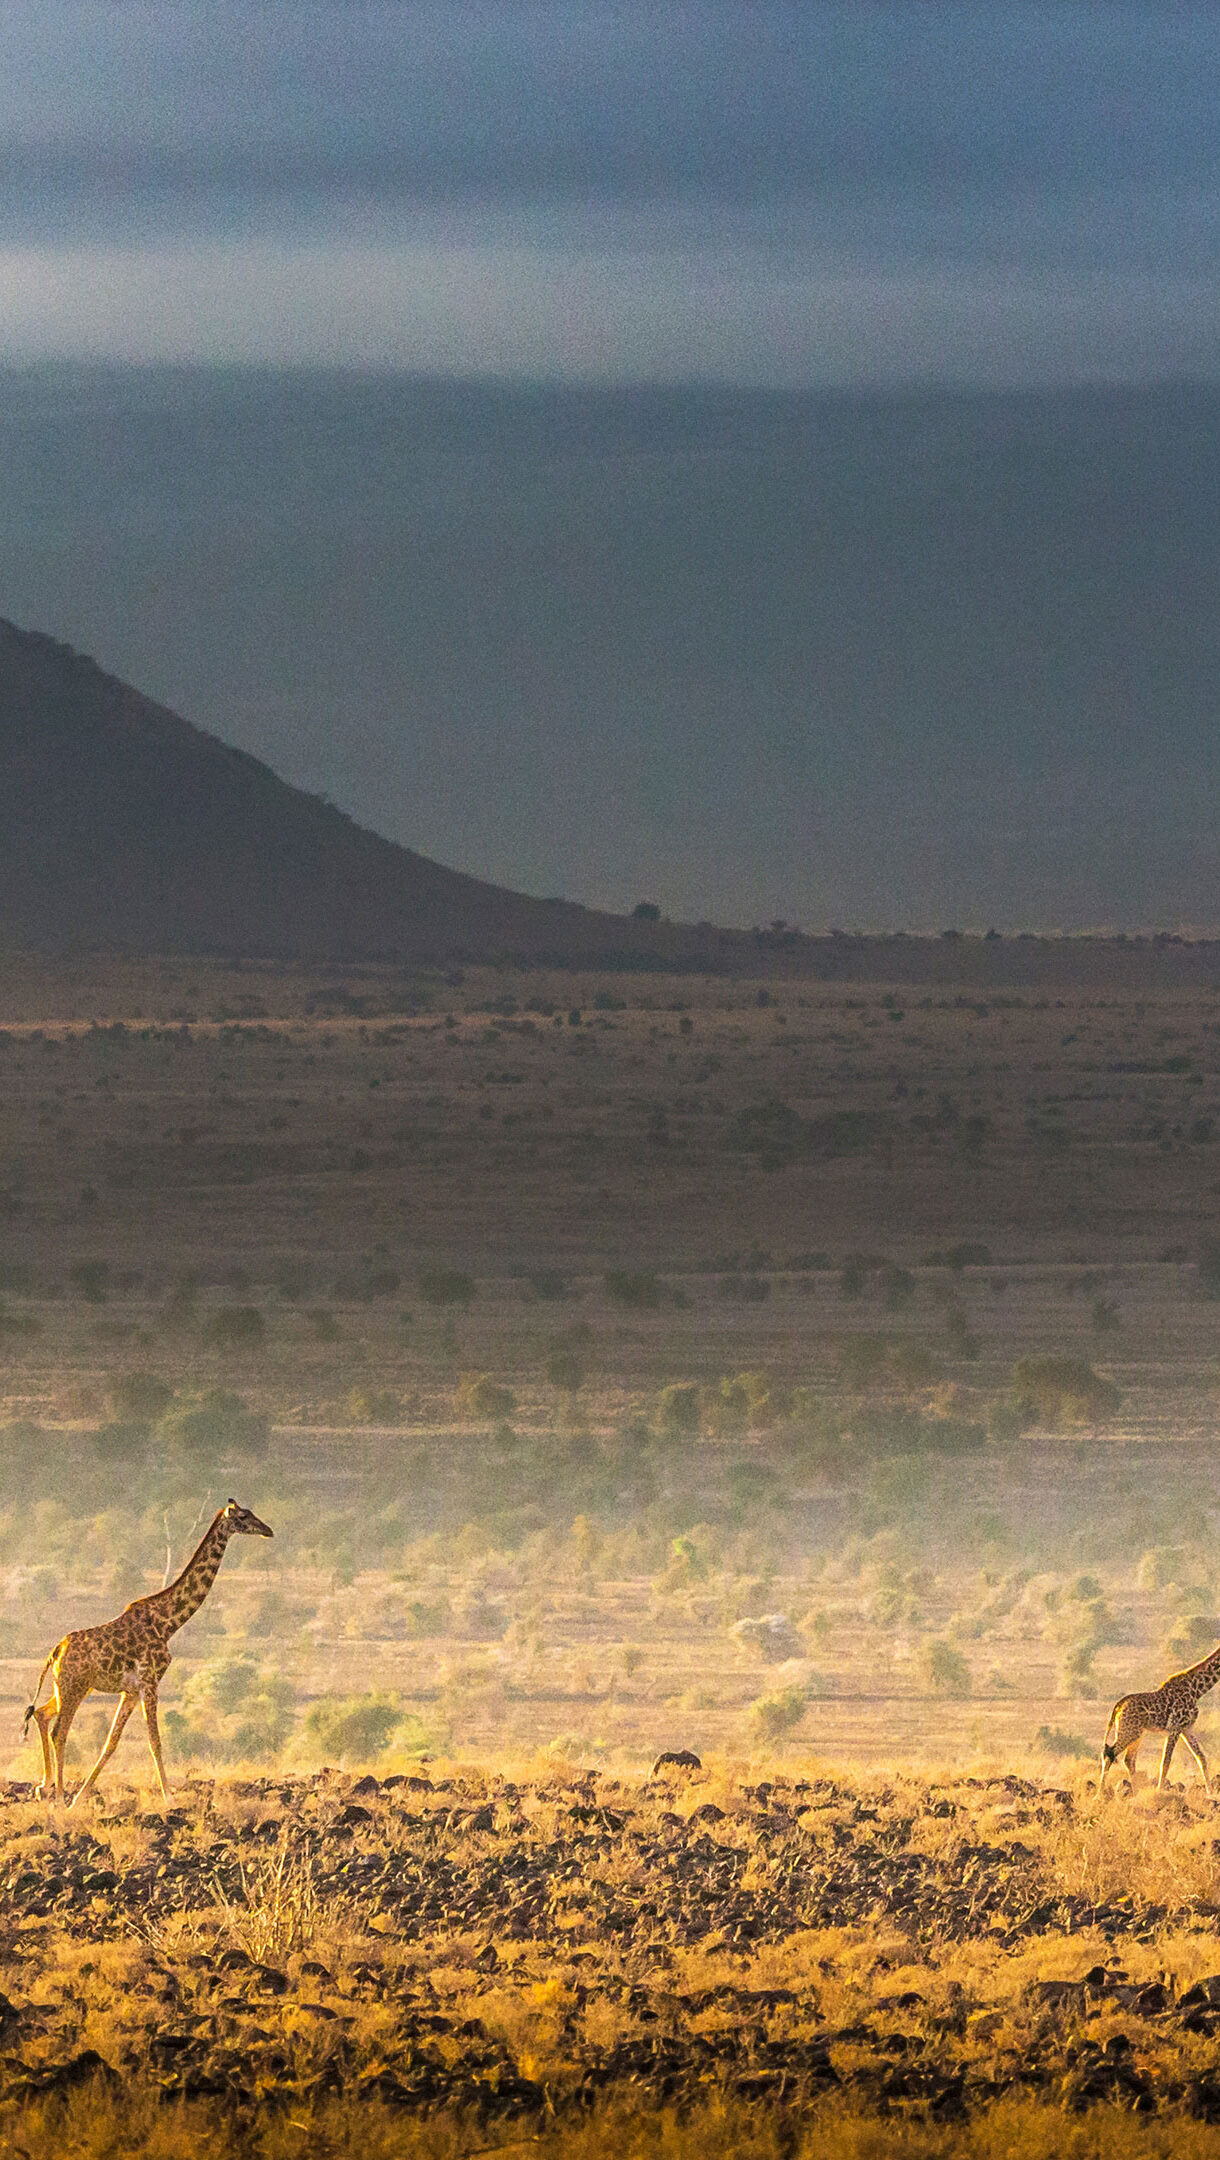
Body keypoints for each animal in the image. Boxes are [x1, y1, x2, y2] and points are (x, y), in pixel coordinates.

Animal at [23, 1500, 273, 1806]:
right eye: (244, 1516)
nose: (268, 1530)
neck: (168, 1623)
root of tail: (55, 1652)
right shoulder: (150, 1681)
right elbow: (155, 1741)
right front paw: (169, 1799)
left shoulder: (130, 1690)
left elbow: (111, 1743)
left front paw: (81, 1797)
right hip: (74, 1687)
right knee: (60, 1731)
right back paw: (58, 1796)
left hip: (68, 1687)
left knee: (41, 1714)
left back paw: (44, 1787)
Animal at [1099, 1643, 1220, 1794]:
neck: (1197, 1690)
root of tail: (1118, 1707)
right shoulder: (1175, 1728)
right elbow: (1166, 1761)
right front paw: (1159, 1790)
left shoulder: (1187, 1728)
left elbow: (1201, 1758)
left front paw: (1210, 1791)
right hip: (1129, 1732)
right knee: (1109, 1753)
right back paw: (1099, 1794)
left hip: (1136, 1733)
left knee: (1128, 1759)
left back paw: (1136, 1792)